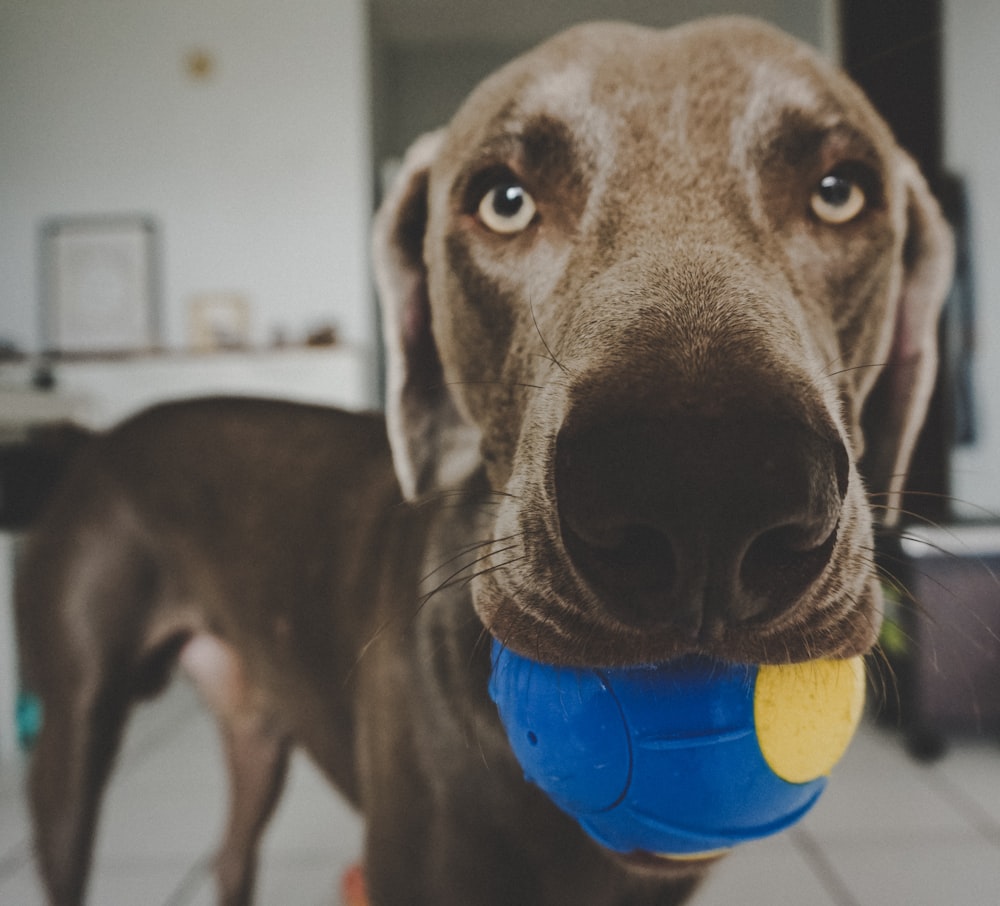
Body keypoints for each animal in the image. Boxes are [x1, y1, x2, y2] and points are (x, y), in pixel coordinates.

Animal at [17, 15, 952, 904]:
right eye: (504, 201)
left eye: (839, 192)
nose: (706, 494)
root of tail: (98, 439)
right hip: (71, 730)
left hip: (255, 723)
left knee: (230, 853)